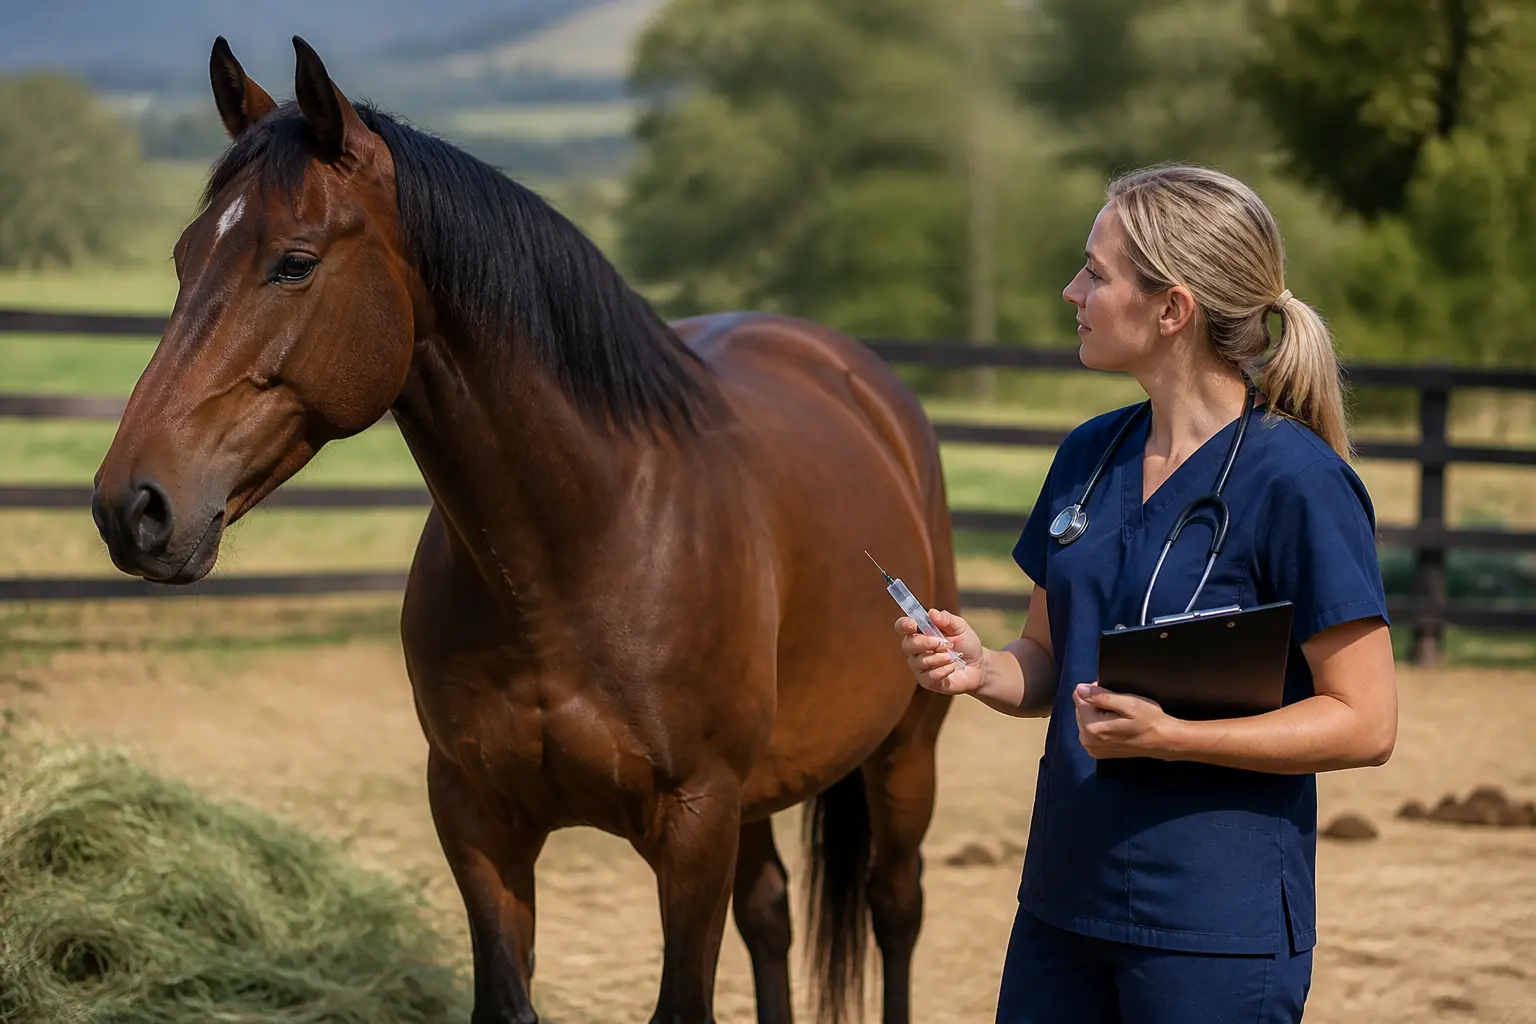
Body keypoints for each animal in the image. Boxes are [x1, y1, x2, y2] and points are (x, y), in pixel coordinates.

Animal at [91, 36, 959, 1024]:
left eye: (294, 263)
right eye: (184, 256)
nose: (132, 505)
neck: (578, 551)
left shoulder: (695, 823)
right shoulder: (478, 820)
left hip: (904, 752)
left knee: (894, 908)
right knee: (772, 915)